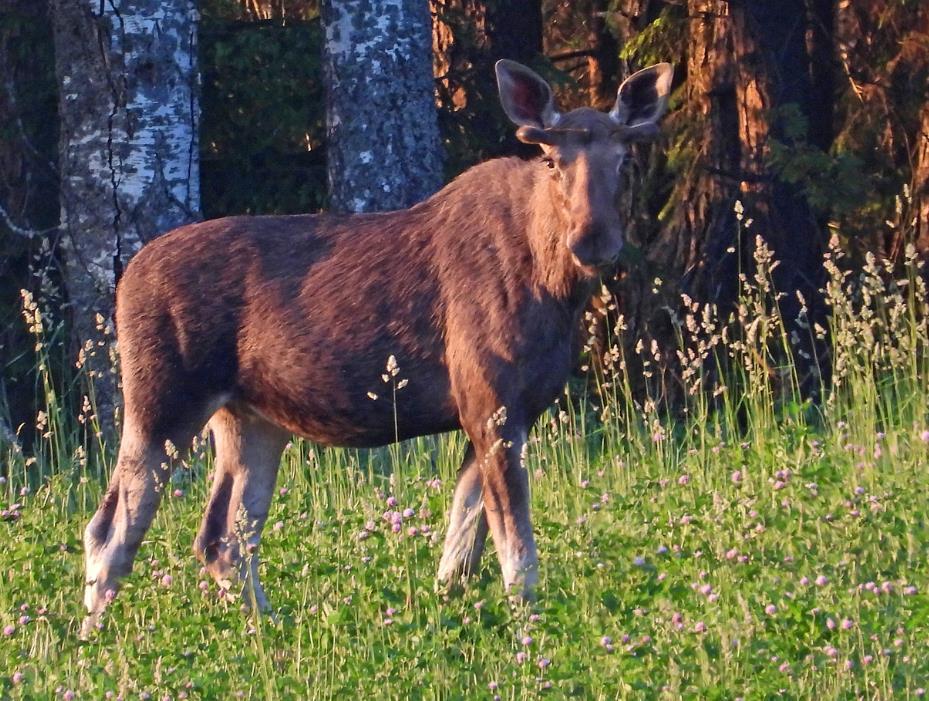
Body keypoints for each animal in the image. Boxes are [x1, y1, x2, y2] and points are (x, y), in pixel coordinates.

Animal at [83, 57, 672, 632]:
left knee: (222, 537)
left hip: (250, 418)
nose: (593, 239)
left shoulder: (501, 411)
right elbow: (517, 555)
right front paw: (527, 632)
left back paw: (272, 631)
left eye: (624, 160)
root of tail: (124, 280)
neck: (555, 289)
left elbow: (459, 555)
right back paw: (94, 639)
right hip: (163, 400)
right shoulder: (491, 403)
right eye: (551, 160)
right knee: (110, 529)